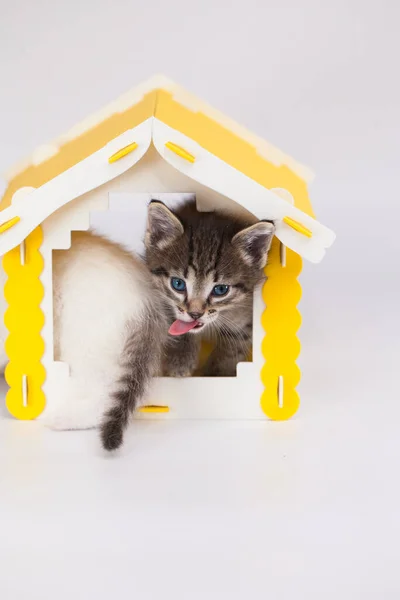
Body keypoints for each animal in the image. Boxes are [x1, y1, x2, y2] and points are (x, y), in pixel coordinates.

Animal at [145, 202, 276, 380]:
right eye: (178, 283)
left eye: (220, 289)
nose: (195, 314)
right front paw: (180, 360)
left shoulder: (246, 318)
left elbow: (233, 346)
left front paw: (219, 372)